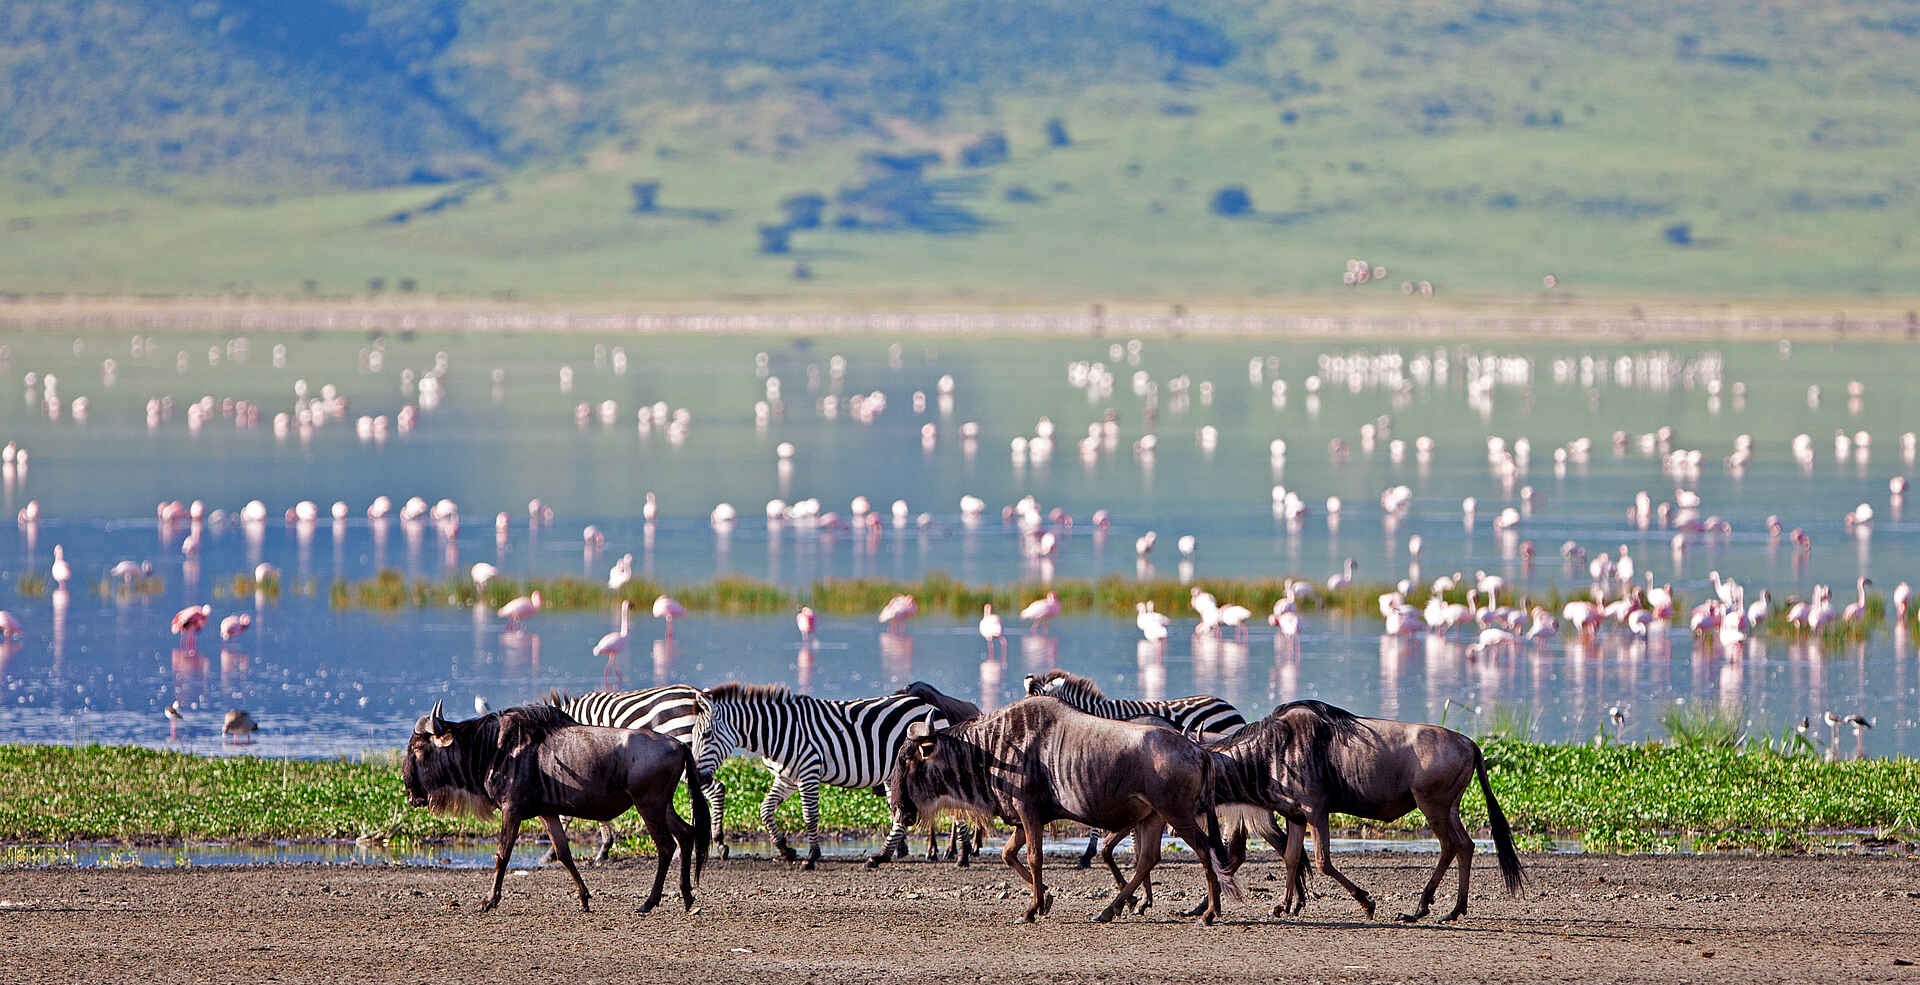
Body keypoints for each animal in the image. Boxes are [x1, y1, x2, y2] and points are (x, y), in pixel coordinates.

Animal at [692, 682, 960, 869]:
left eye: (706, 735)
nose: (698, 778)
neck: (777, 732)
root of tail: (933, 708)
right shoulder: (786, 778)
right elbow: (765, 810)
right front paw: (786, 850)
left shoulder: (808, 772)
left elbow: (810, 816)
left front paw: (811, 857)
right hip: (893, 774)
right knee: (900, 815)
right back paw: (880, 857)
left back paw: (961, 856)